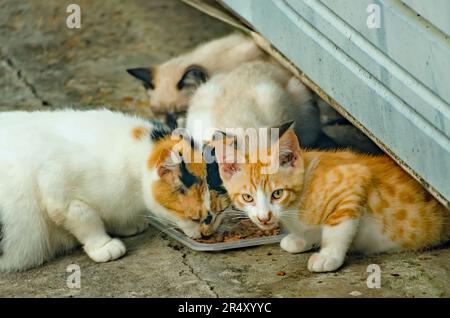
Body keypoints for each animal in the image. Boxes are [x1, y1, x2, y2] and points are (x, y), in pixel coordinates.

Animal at [0, 109, 224, 270]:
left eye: (220, 212)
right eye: (194, 218)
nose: (207, 233)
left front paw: (127, 225)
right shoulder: (56, 191)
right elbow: (86, 218)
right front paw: (103, 246)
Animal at [216, 123, 448, 272]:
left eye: (277, 193)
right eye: (247, 197)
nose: (264, 218)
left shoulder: (354, 180)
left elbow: (337, 227)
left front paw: (328, 256)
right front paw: (302, 239)